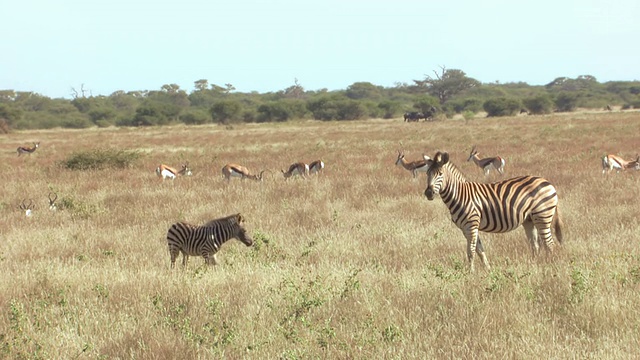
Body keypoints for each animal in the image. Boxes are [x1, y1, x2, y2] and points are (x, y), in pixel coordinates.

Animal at [424, 150, 564, 272]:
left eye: (440, 174)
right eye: (427, 174)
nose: (428, 193)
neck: (460, 195)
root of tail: (547, 182)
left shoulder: (471, 225)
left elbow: (471, 251)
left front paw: (470, 272)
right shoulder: (466, 228)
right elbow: (480, 250)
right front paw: (488, 270)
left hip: (543, 215)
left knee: (549, 244)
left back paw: (547, 266)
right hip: (529, 220)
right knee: (535, 245)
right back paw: (534, 265)